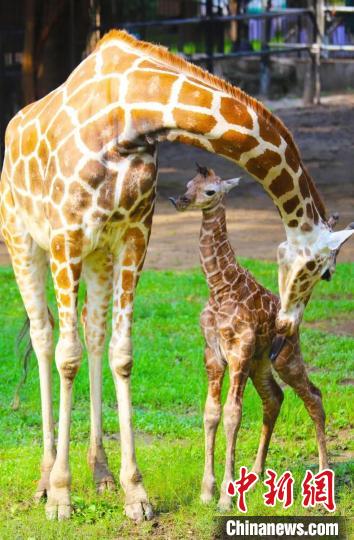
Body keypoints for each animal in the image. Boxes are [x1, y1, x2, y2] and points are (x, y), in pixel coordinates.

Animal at [169, 166, 330, 510]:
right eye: (189, 184)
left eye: (211, 191)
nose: (180, 200)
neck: (220, 287)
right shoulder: (213, 354)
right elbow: (211, 413)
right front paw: (207, 491)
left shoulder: (239, 352)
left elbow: (233, 415)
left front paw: (225, 497)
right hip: (261, 364)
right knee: (275, 398)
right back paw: (255, 476)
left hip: (286, 357)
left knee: (313, 396)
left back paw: (324, 485)